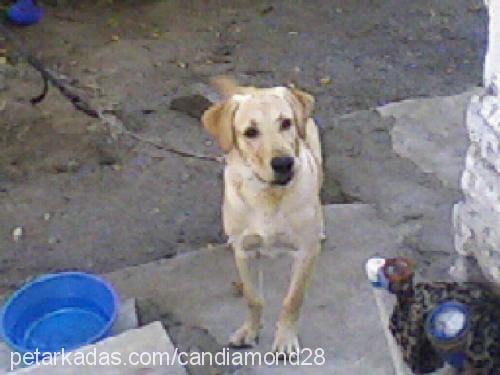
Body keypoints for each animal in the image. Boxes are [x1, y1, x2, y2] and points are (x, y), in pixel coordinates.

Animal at [201, 77, 326, 358]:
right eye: (250, 132)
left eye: (286, 123)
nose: (283, 163)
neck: (267, 195)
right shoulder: (243, 251)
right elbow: (253, 298)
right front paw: (250, 330)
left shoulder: (305, 250)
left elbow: (293, 299)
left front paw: (285, 338)